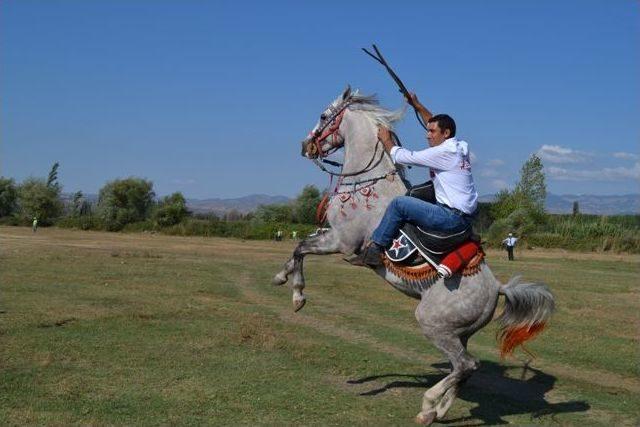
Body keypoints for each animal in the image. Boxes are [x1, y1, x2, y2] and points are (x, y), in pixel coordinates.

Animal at [272, 87, 552, 424]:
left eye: (325, 115)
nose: (306, 145)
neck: (366, 185)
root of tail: (498, 288)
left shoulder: (341, 241)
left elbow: (301, 248)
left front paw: (297, 295)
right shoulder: (329, 235)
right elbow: (298, 249)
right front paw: (282, 277)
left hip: (432, 324)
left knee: (467, 365)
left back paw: (428, 404)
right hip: (458, 333)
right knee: (464, 367)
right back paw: (438, 411)